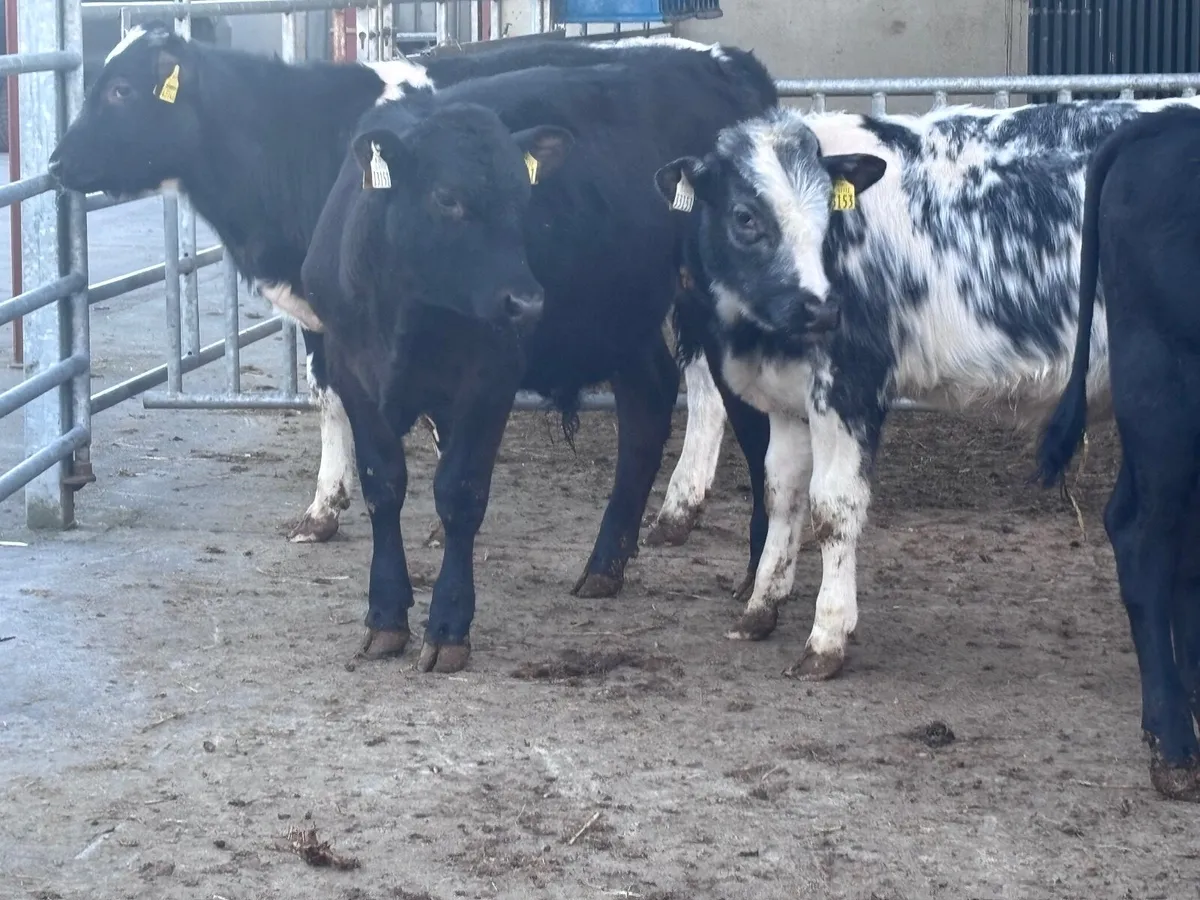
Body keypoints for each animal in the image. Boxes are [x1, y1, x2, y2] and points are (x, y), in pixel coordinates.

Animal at [47, 23, 735, 552]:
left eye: (120, 89)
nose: (55, 162)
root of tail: (726, 60)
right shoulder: (328, 313)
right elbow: (328, 397)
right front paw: (324, 508)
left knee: (708, 391)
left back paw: (679, 509)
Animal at [299, 49, 777, 671]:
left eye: (522, 201)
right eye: (447, 198)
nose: (526, 301)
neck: (405, 311)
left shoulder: (489, 377)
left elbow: (460, 494)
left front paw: (448, 626)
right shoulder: (353, 372)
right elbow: (383, 487)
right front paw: (385, 616)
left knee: (758, 434)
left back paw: (757, 575)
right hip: (622, 316)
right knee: (648, 405)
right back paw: (604, 566)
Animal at [653, 94, 1200, 682]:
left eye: (827, 213)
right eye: (745, 217)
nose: (820, 307)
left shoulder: (849, 388)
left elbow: (833, 507)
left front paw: (827, 637)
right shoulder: (791, 401)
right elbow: (782, 495)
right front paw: (761, 606)